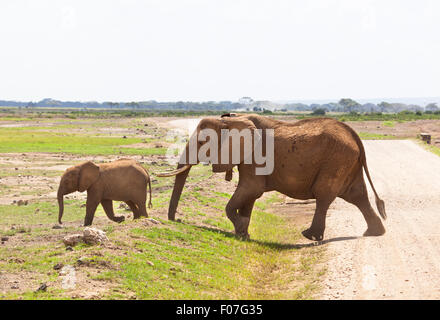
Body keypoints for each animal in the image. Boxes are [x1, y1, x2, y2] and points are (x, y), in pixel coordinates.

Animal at [157, 114, 384, 241]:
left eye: (202, 141)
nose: (176, 220)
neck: (230, 120)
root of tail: (354, 135)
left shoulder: (255, 156)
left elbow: (250, 189)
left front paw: (241, 228)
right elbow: (249, 195)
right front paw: (243, 234)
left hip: (336, 161)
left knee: (324, 196)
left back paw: (309, 235)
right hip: (346, 162)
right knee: (358, 196)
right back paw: (374, 233)